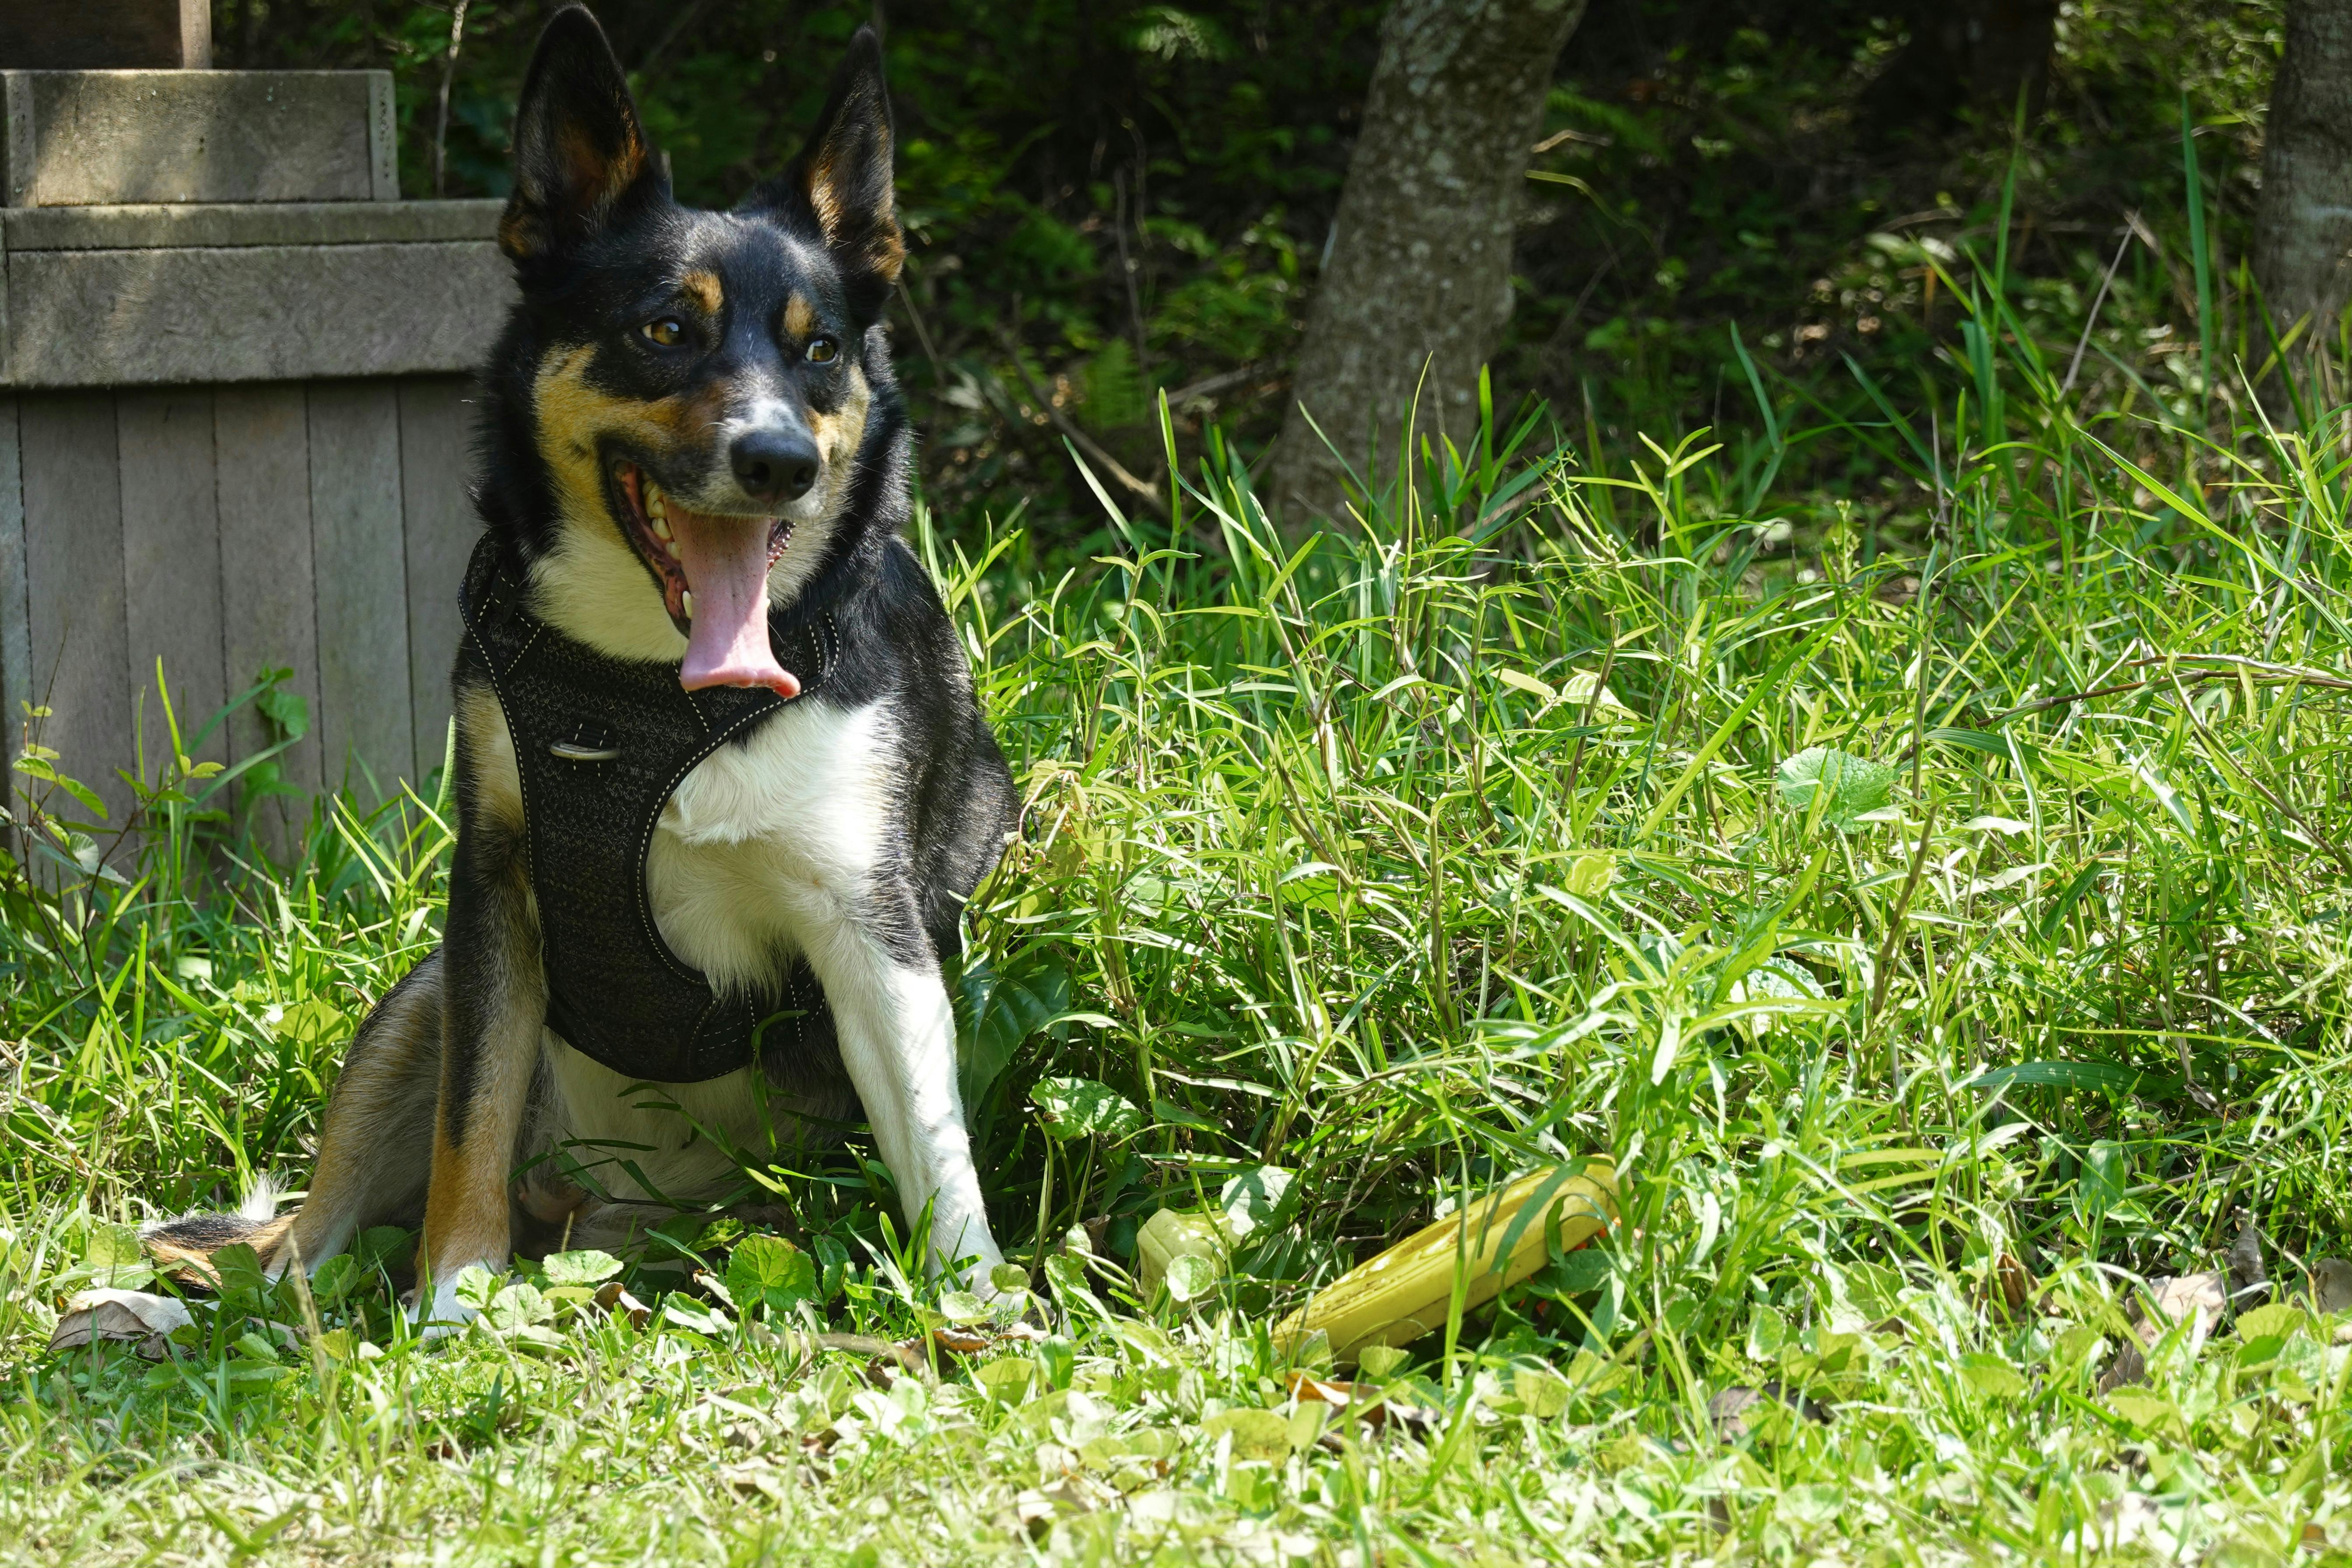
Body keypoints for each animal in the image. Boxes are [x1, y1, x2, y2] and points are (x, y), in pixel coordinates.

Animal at [147, 6, 1021, 1335]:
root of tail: (605, 1211)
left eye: (820, 351)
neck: (654, 691)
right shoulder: (495, 893)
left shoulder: (871, 926)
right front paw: (453, 1299)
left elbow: (936, 1144)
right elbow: (470, 1122)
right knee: (291, 1245)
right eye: (666, 328)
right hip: (416, 1001)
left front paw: (975, 1302)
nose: (777, 460)